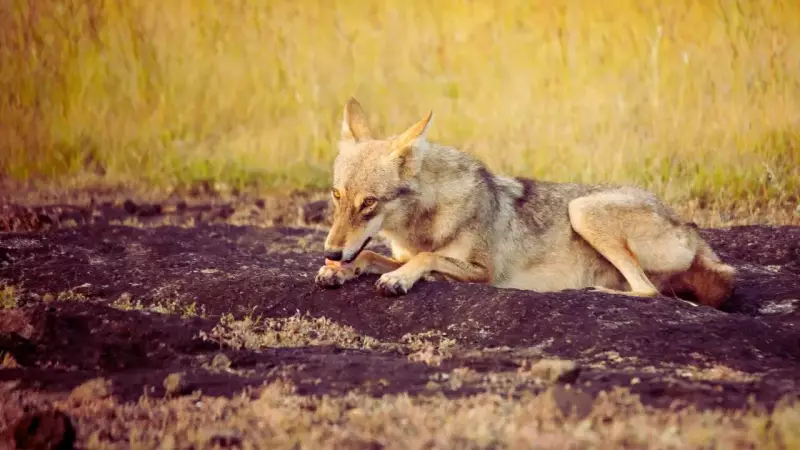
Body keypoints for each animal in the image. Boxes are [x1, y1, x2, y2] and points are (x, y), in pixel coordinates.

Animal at [314, 97, 737, 308]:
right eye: (337, 196)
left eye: (369, 203)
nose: (331, 250)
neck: (424, 221)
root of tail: (691, 229)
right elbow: (372, 255)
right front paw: (338, 269)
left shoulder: (482, 271)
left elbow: (427, 258)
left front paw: (400, 278)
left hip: (582, 210)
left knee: (647, 291)